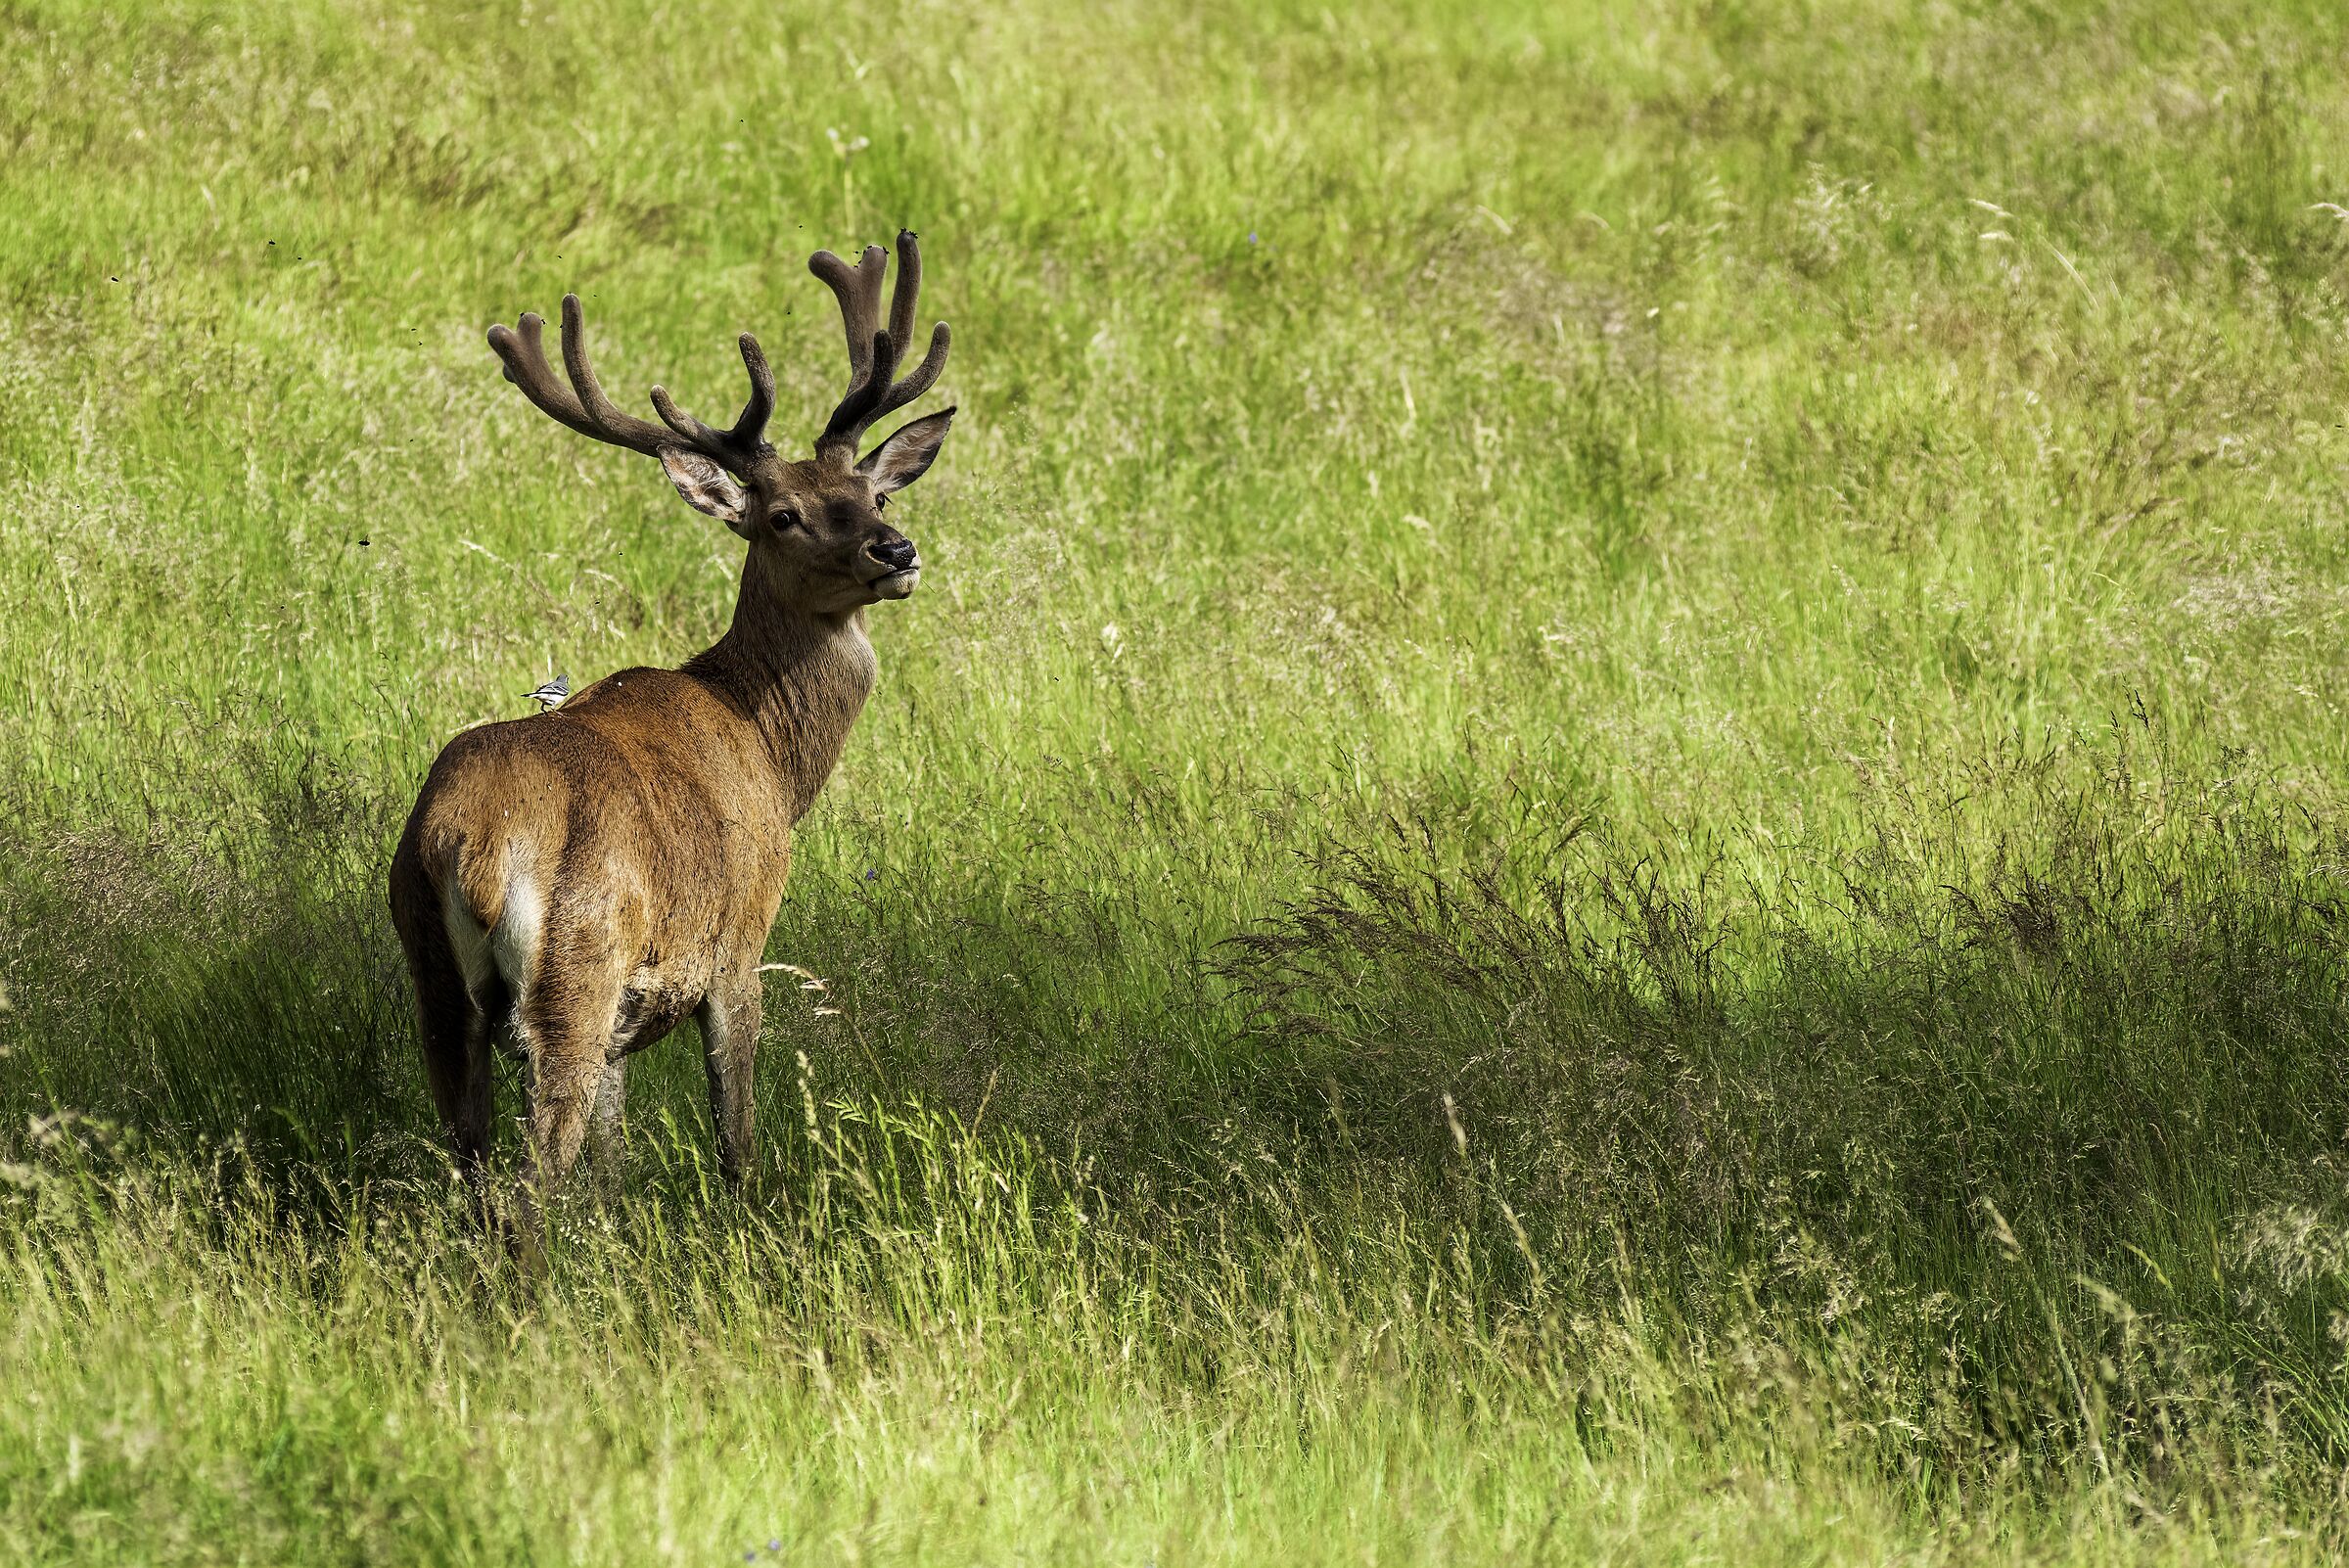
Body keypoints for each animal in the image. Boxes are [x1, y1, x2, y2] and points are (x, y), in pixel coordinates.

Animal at [388, 231, 954, 1207]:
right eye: (784, 515)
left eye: (874, 495)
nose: (897, 550)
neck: (768, 745)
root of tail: (473, 848)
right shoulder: (741, 938)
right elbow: (735, 1128)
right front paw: (749, 1224)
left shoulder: (627, 1016)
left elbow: (613, 1165)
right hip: (575, 965)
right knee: (535, 1174)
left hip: (432, 971)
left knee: (472, 1152)